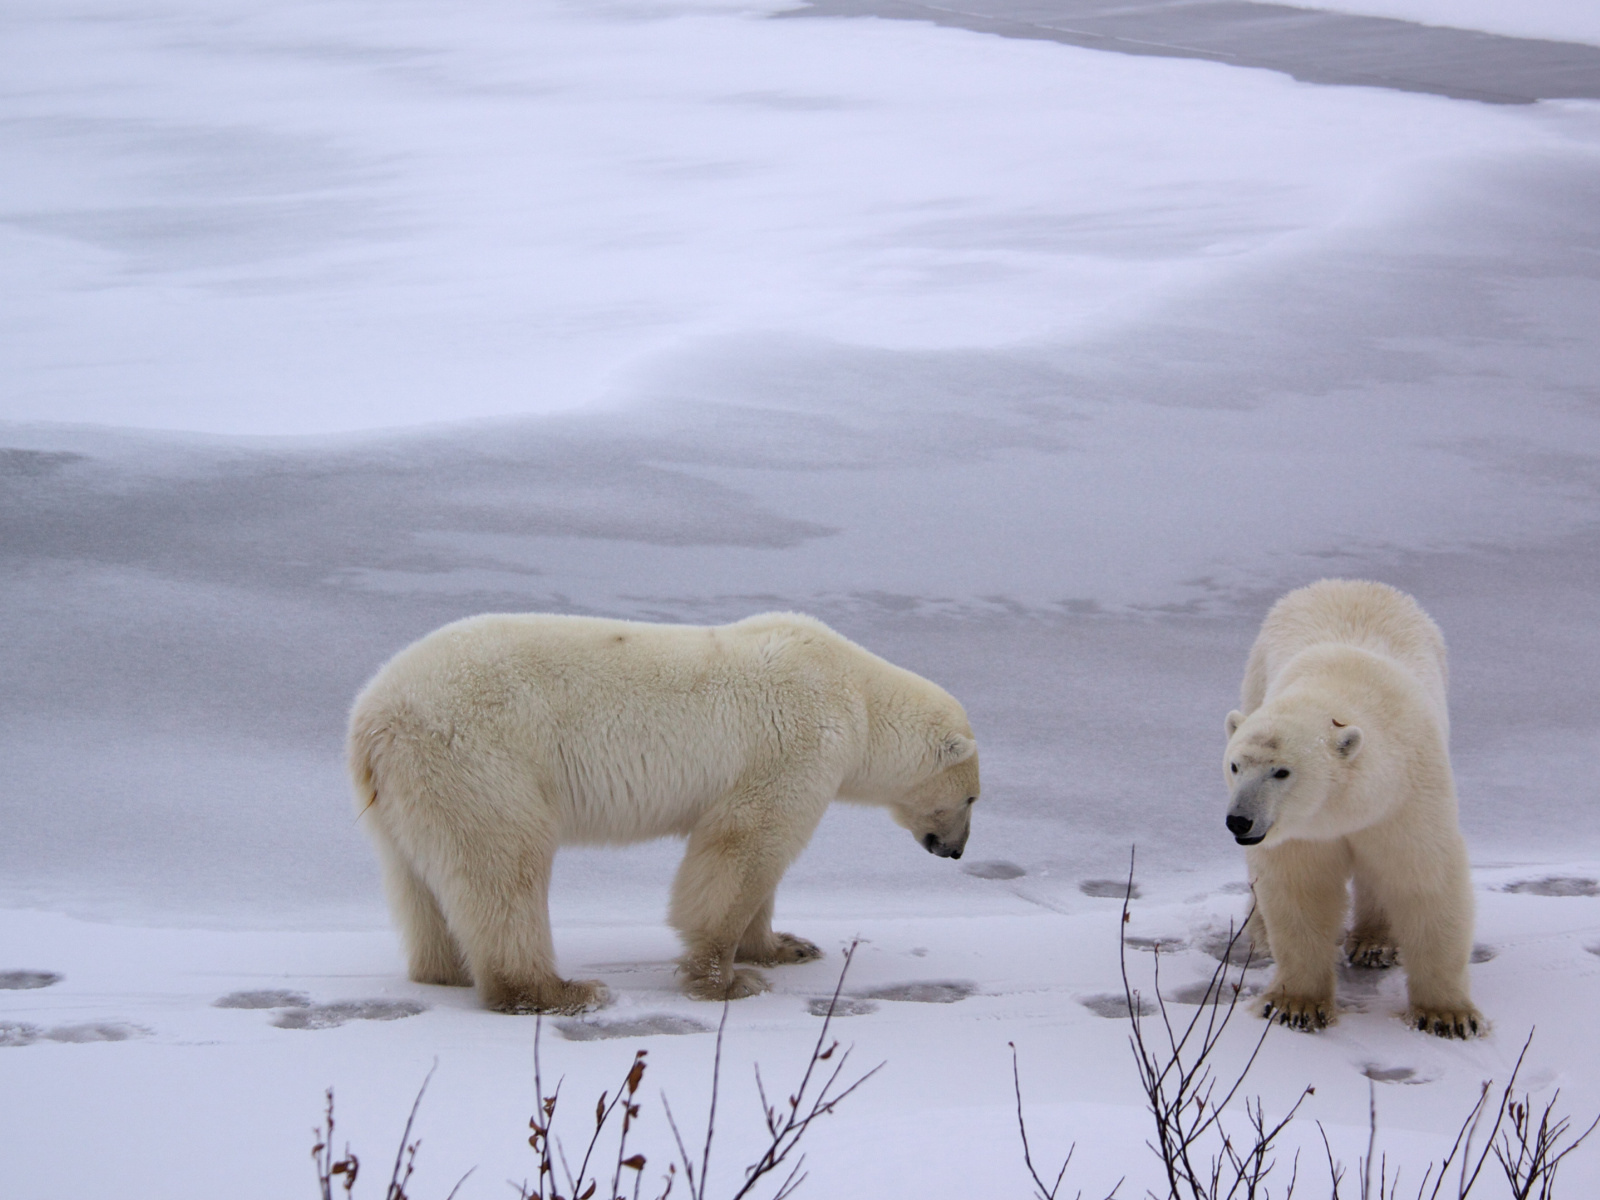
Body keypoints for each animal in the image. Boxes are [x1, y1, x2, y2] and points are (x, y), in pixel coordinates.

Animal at [345, 611, 979, 1017]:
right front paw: (729, 981)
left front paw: (787, 946)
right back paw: (561, 991)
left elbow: (759, 863)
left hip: (408, 793)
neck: (857, 693)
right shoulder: (794, 744)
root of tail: (374, 718)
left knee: (418, 880)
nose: (956, 850)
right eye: (973, 799)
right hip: (478, 759)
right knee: (504, 867)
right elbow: (744, 847)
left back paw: (445, 969)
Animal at [1222, 582, 1484, 1043]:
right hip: (1255, 676)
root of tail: (1345, 581)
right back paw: (1262, 934)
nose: (1240, 820)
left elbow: (1425, 879)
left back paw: (1375, 943)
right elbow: (1300, 888)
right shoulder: (1302, 833)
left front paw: (1448, 1015)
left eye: (1282, 771)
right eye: (1235, 766)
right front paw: (1296, 1006)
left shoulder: (1405, 795)